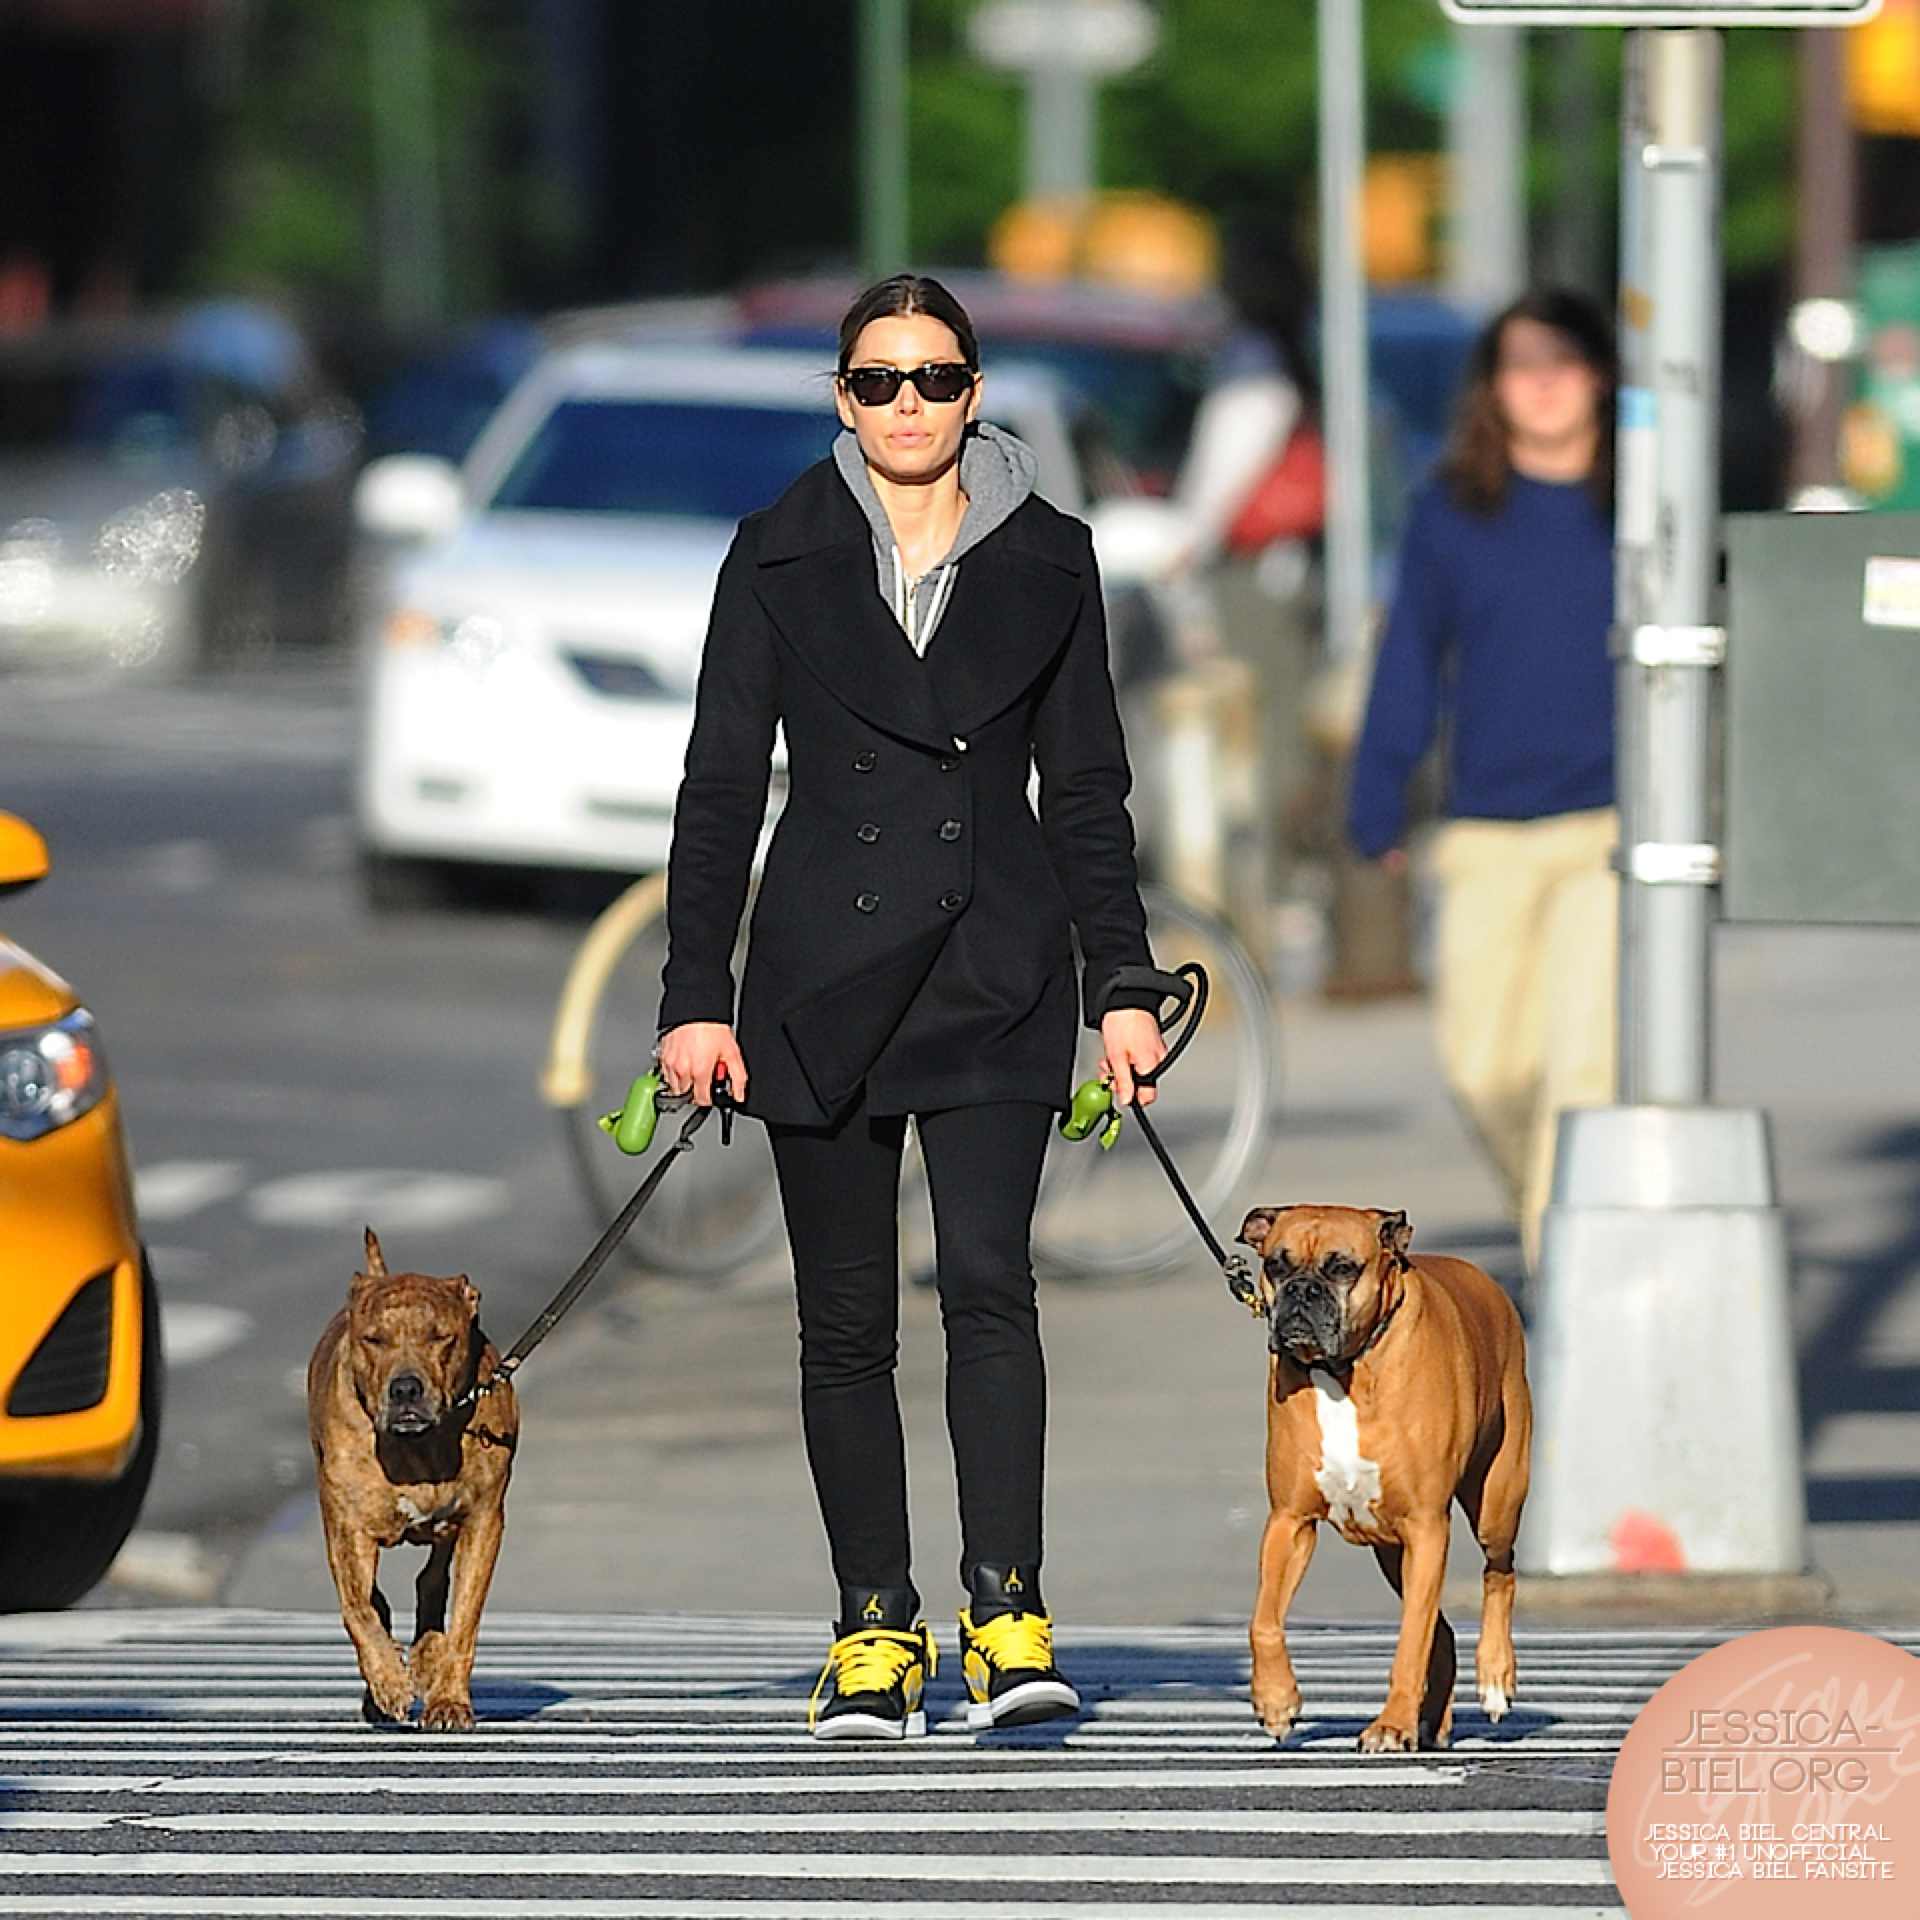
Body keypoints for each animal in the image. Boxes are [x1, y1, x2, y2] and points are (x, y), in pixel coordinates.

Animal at [307, 1236, 518, 1735]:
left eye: (440, 1337)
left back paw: (425, 1656)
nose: (405, 1389)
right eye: (373, 1339)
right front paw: (387, 1682)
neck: (416, 1449)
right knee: (376, 1600)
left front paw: (448, 1700)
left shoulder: (484, 1520)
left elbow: (465, 1619)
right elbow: (358, 1607)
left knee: (433, 1578)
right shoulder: (346, 1524)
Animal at [1236, 1205, 1536, 1751]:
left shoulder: (1427, 1527)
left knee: (1499, 1575)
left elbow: (1410, 1639)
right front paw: (1275, 1701)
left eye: (1342, 1268)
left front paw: (1392, 1724)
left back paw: (1494, 1680)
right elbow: (1263, 1620)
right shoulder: (1289, 1522)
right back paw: (1433, 1722)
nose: (1301, 1291)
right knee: (1442, 1631)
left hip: (1495, 1506)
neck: (1342, 1372)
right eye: (1275, 1265)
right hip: (1391, 1550)